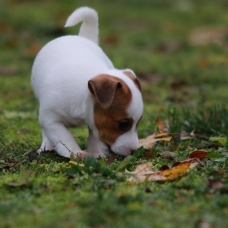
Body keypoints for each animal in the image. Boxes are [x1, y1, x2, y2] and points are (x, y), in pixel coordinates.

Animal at [31, 6, 143, 158]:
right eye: (123, 124)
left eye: (138, 122)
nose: (133, 151)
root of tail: (81, 37)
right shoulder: (50, 120)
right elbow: (64, 136)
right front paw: (74, 152)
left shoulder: (94, 121)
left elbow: (94, 136)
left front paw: (96, 153)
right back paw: (46, 146)